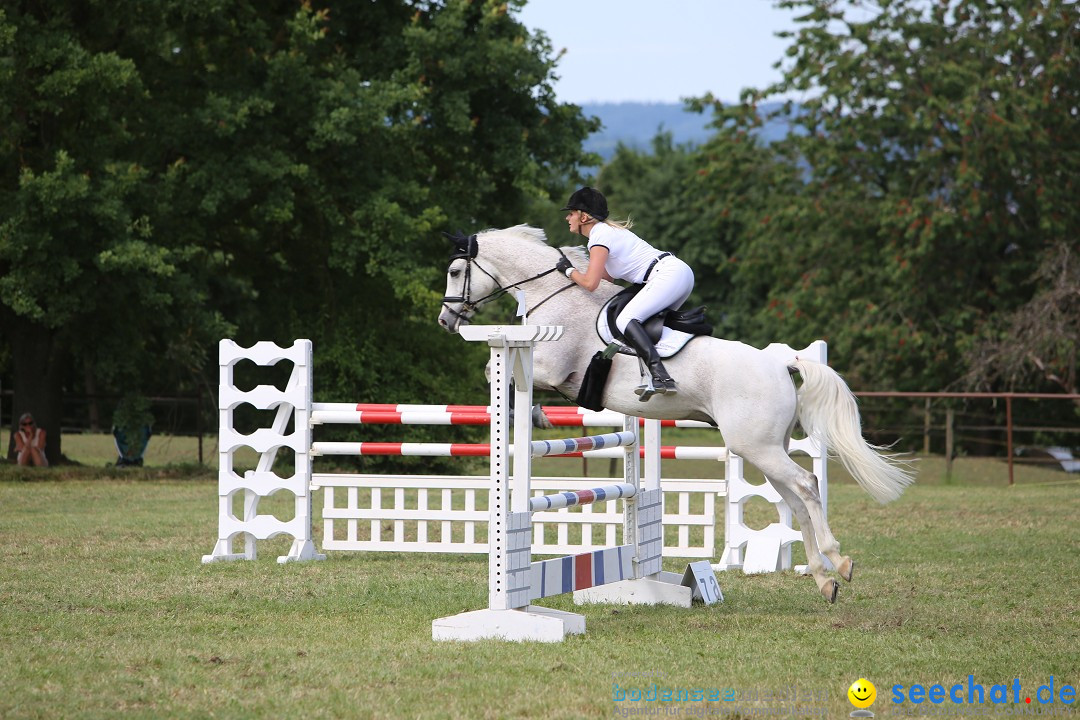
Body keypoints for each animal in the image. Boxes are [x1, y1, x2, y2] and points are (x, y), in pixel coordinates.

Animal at [438, 225, 911, 604]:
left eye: (456, 271)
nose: (446, 320)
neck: (552, 294)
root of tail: (779, 361)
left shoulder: (551, 367)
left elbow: (496, 373)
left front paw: (533, 415)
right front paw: (535, 415)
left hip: (754, 445)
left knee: (807, 485)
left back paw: (839, 562)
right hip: (764, 447)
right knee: (795, 499)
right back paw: (823, 580)